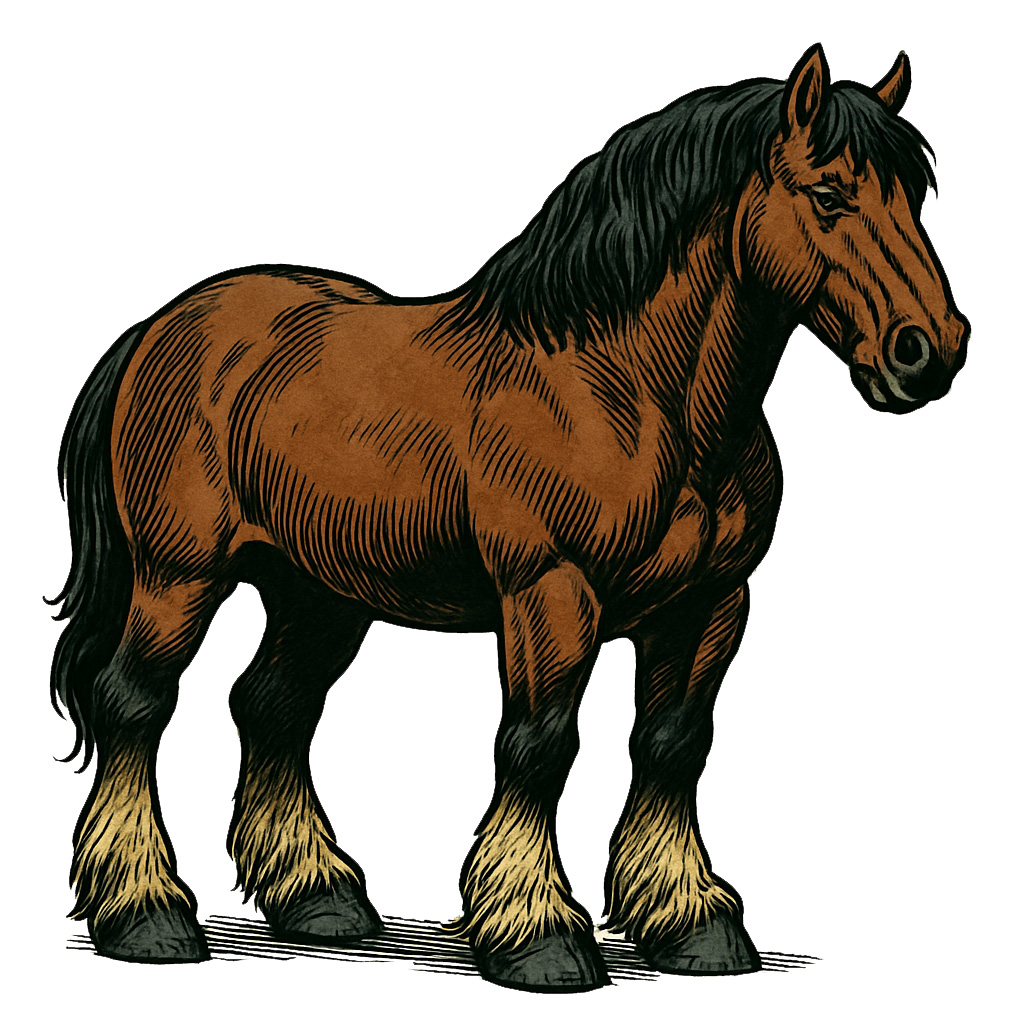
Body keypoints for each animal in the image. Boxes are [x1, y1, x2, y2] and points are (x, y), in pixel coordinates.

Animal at [50, 44, 968, 992]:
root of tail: (164, 327)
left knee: (272, 707)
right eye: (829, 195)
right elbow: (538, 745)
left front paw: (692, 924)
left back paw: (319, 900)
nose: (928, 350)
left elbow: (673, 744)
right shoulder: (550, 595)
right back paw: (145, 913)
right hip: (179, 577)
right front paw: (537, 934)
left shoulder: (711, 604)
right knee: (136, 702)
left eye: (914, 196)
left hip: (319, 595)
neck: (630, 391)